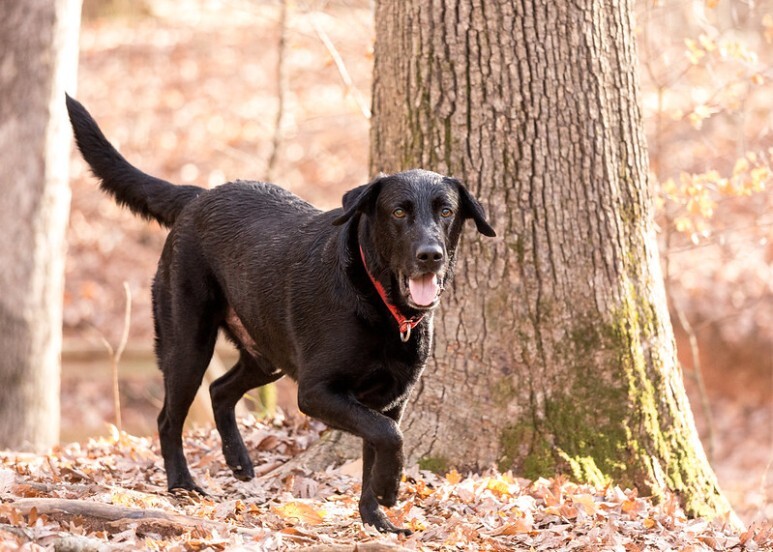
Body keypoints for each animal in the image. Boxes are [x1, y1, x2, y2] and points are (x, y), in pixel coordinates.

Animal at [69, 96, 498, 536]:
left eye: (446, 211)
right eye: (398, 212)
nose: (431, 255)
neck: (380, 304)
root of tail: (199, 196)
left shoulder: (389, 399)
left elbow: (376, 446)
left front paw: (376, 516)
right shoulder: (316, 392)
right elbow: (389, 436)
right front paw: (389, 490)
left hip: (266, 356)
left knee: (220, 390)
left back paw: (238, 460)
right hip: (188, 343)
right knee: (168, 418)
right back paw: (182, 484)